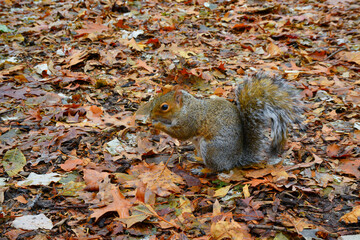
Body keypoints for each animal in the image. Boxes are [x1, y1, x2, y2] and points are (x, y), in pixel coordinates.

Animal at [139, 72, 302, 172]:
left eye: (164, 107)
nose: (151, 114)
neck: (187, 107)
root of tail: (235, 159)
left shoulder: (190, 120)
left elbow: (181, 133)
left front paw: (157, 124)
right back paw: (196, 158)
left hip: (211, 148)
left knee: (216, 168)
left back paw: (201, 170)